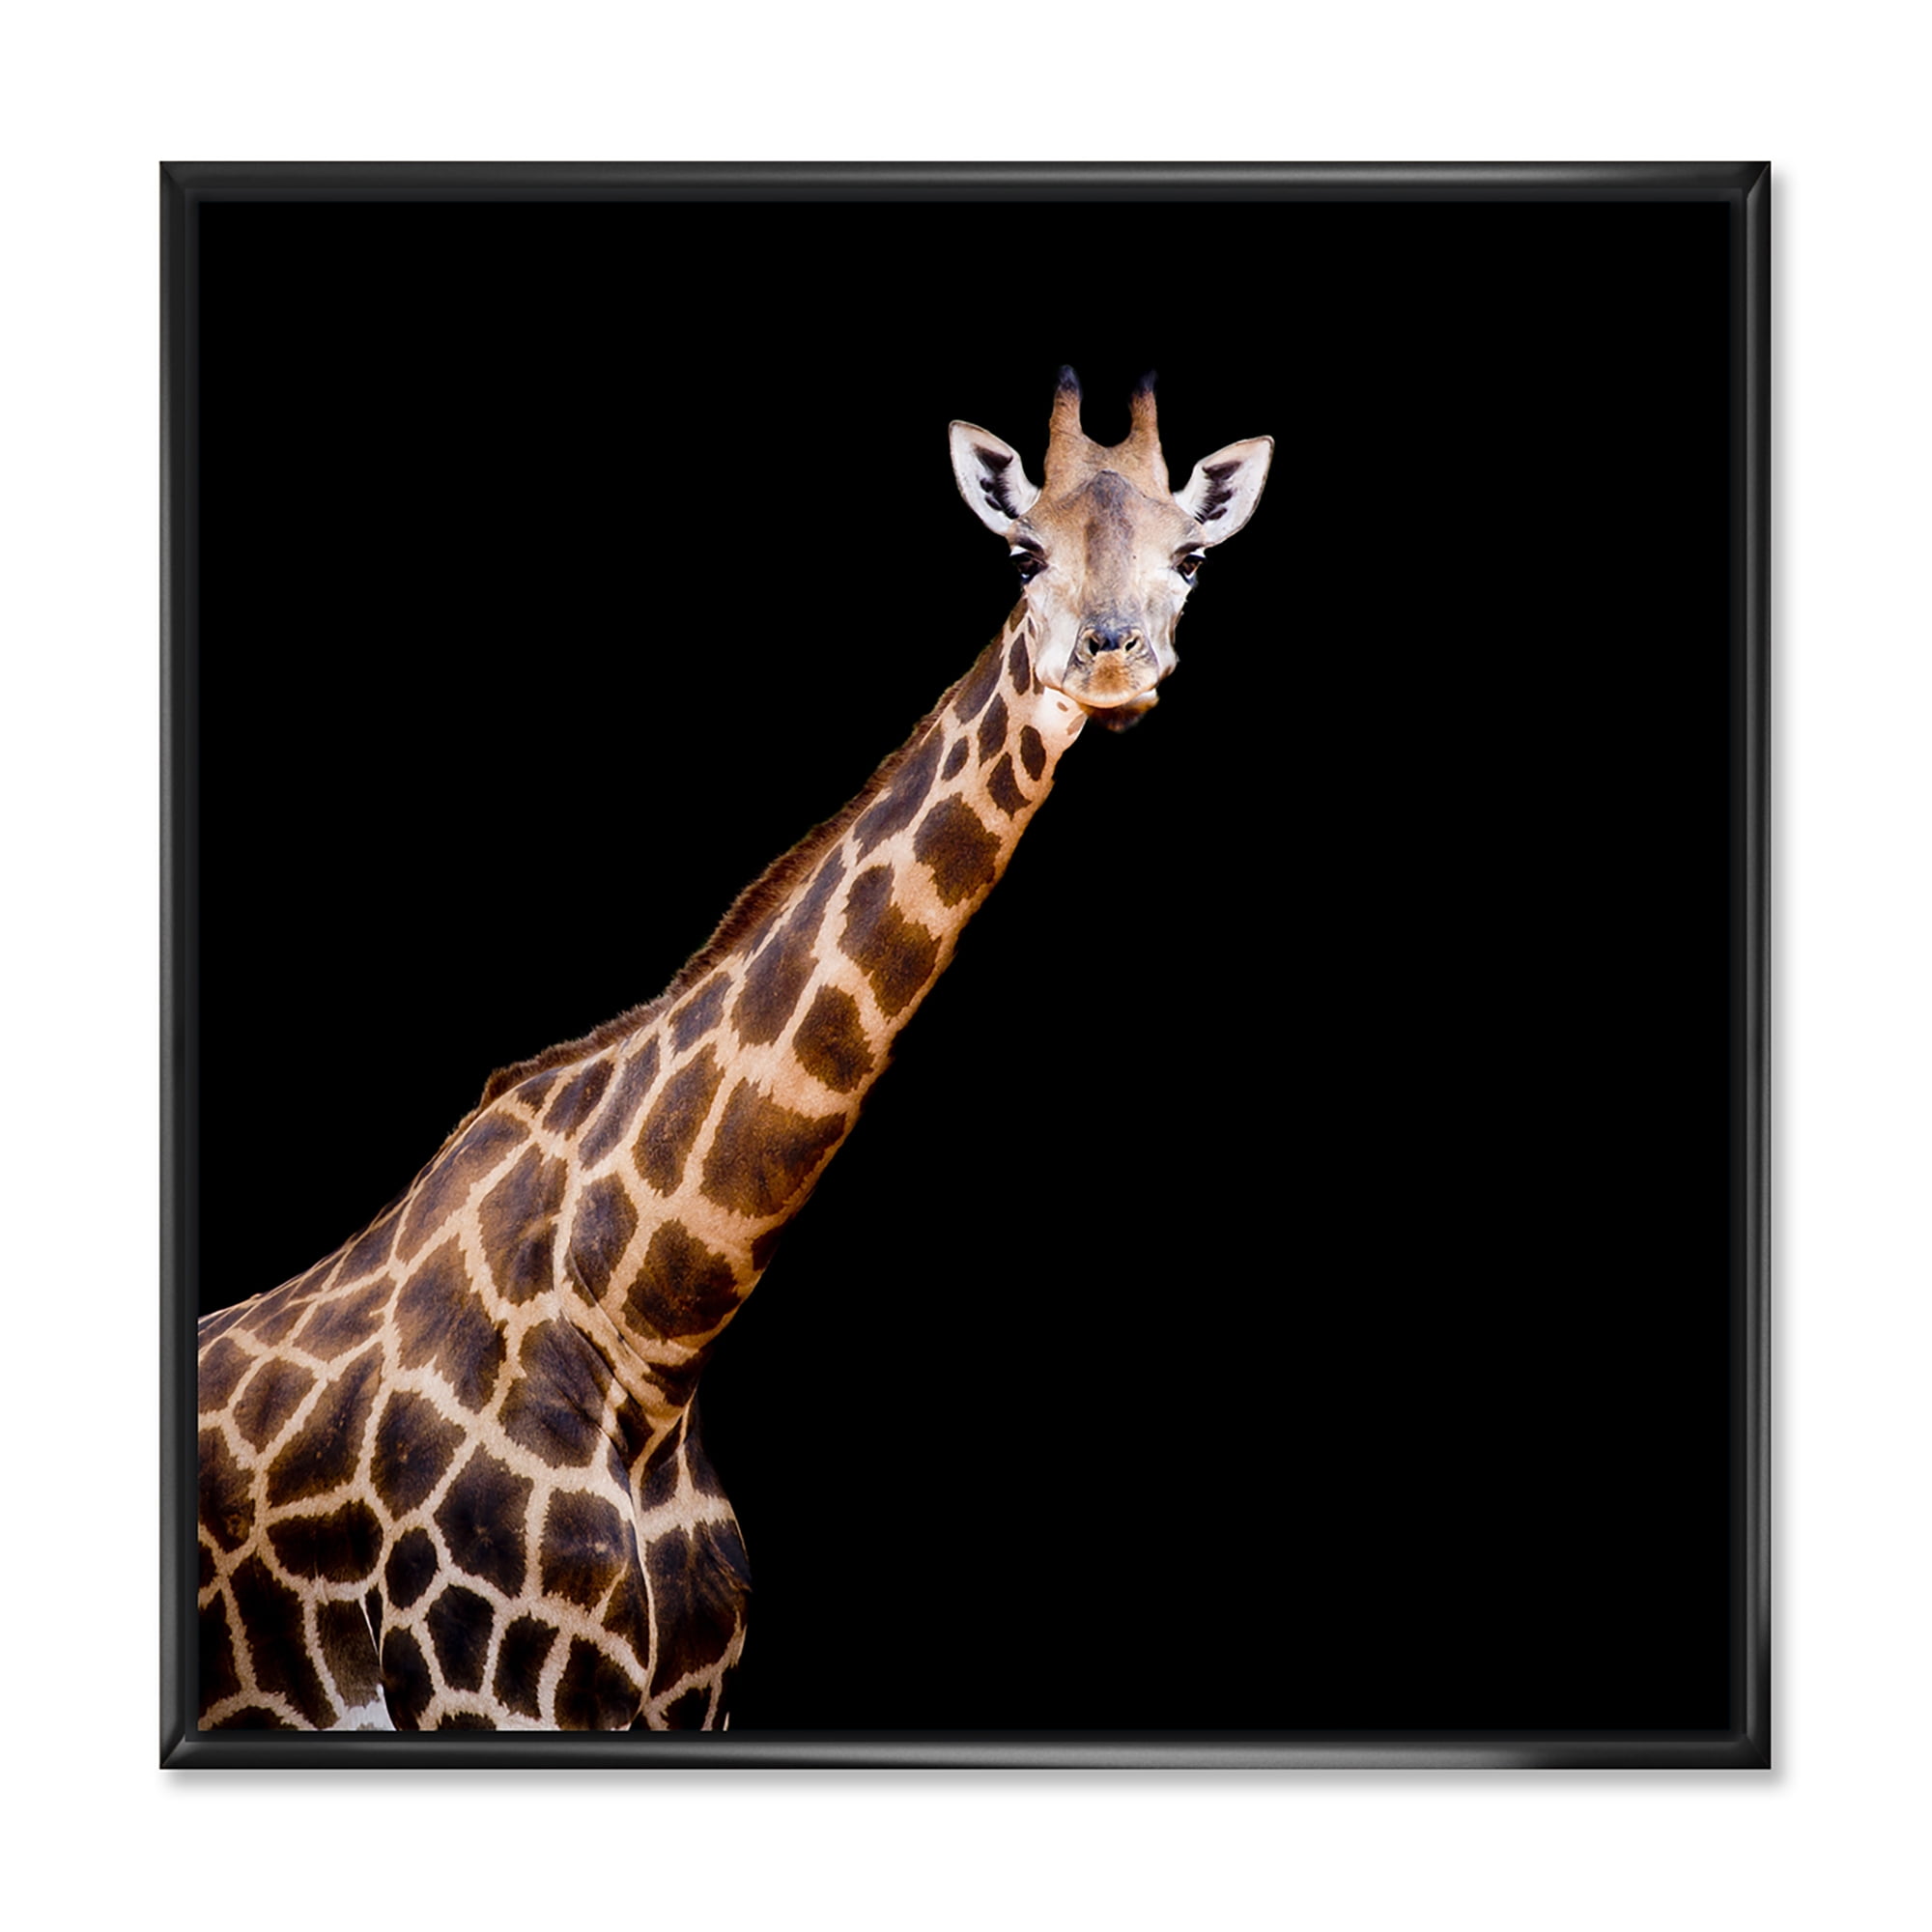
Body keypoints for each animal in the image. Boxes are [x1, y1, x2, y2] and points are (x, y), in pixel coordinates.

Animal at [195, 370, 1273, 1731]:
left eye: (1191, 555)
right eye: (1021, 552)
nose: (1114, 657)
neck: (647, 1331)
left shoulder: (690, 1698)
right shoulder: (475, 1686)